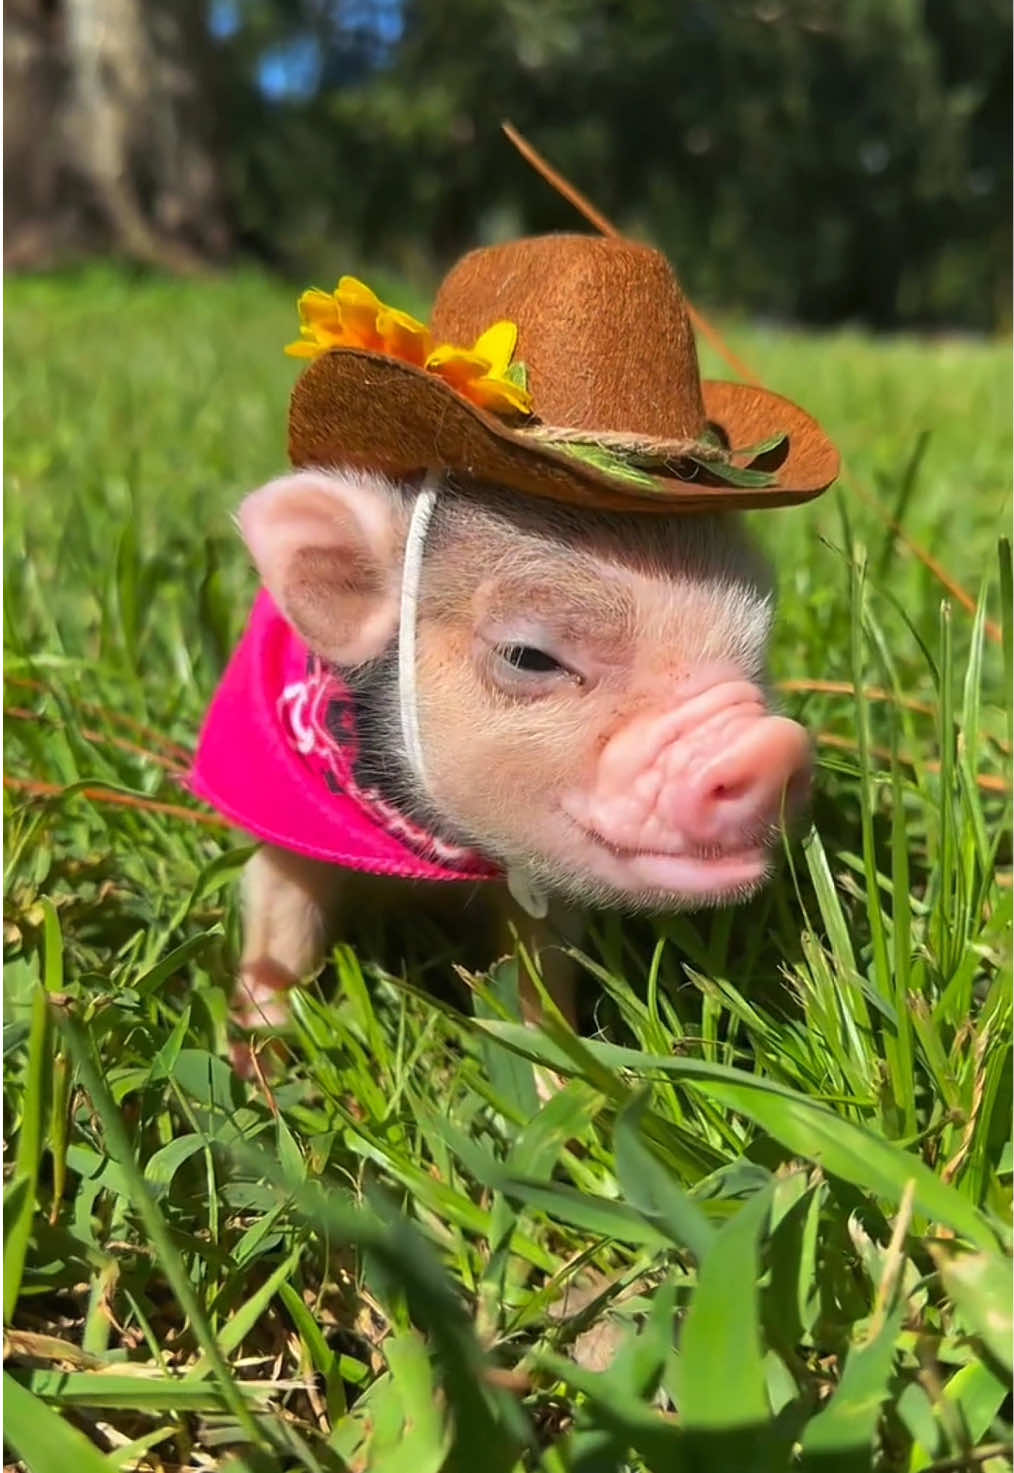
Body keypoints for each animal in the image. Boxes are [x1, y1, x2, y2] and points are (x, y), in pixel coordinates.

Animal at [226, 464, 811, 1042]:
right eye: (528, 656)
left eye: (757, 651)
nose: (768, 747)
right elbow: (281, 925)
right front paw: (258, 1046)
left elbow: (539, 969)